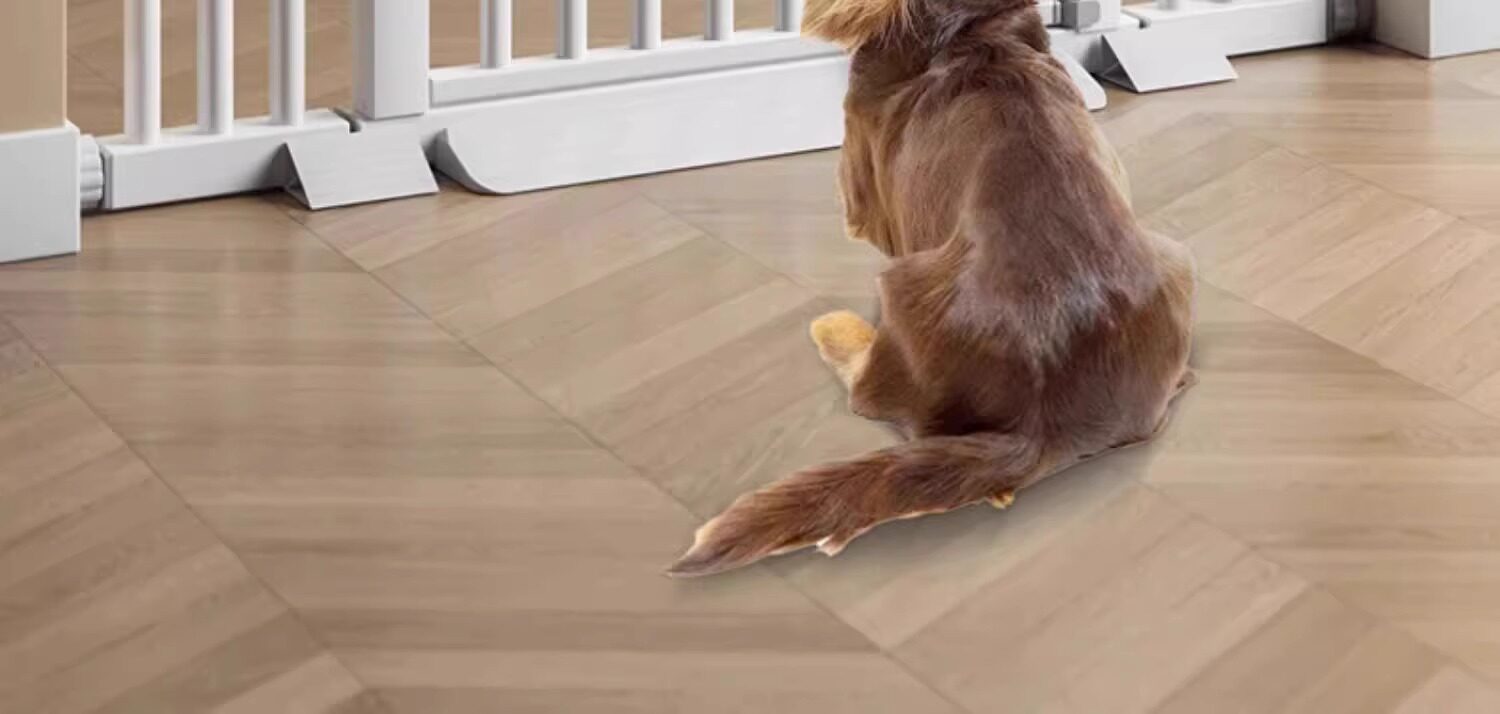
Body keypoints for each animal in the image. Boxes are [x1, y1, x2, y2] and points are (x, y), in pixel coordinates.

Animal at [666, 0, 1195, 577]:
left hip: (897, 286)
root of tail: (1045, 427)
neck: (970, 26)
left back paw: (837, 330)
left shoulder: (865, 198)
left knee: (870, 389)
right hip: (1175, 256)